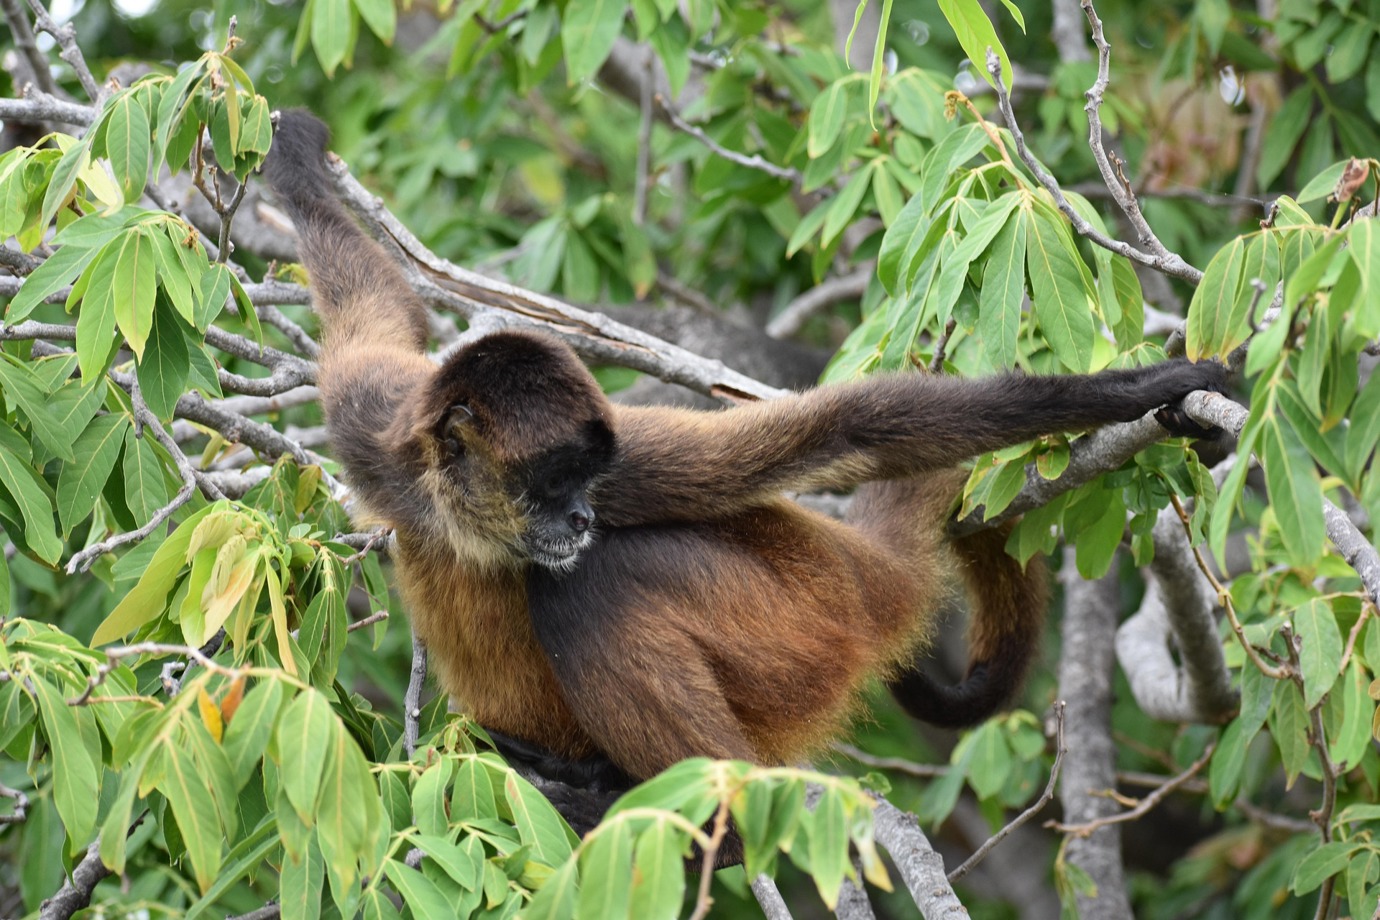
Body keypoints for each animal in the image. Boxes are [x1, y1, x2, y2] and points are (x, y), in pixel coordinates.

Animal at [262, 110, 1224, 834]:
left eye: (583, 481)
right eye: (550, 483)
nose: (580, 520)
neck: (471, 527)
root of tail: (865, 571)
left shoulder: (630, 459)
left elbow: (847, 427)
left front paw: (1145, 387)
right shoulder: (383, 440)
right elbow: (377, 310)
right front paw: (298, 163)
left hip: (801, 627)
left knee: (593, 584)